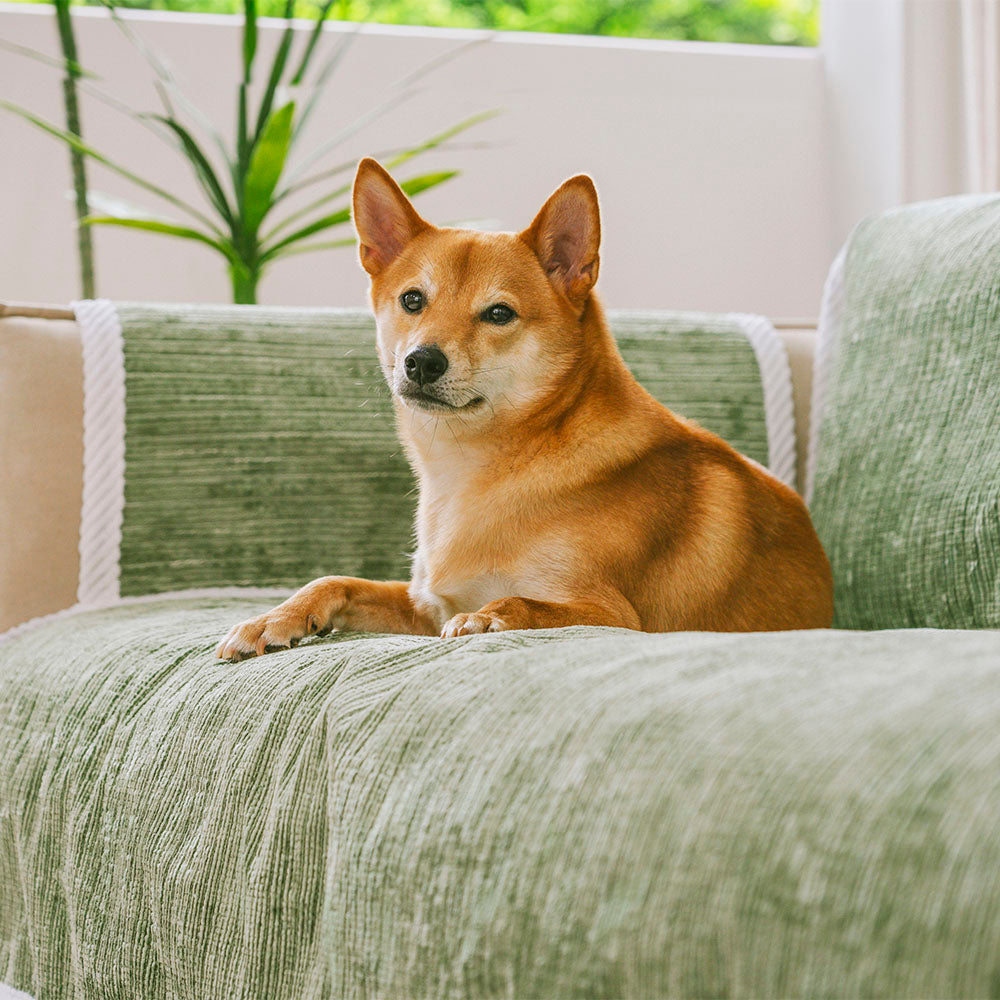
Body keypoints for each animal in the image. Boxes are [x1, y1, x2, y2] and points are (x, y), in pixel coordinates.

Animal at [217, 160, 828, 660]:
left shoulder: (614, 616)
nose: (421, 362)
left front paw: (486, 619)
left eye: (498, 313)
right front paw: (276, 618)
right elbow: (337, 581)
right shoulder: (424, 606)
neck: (481, 470)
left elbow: (521, 603)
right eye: (412, 299)